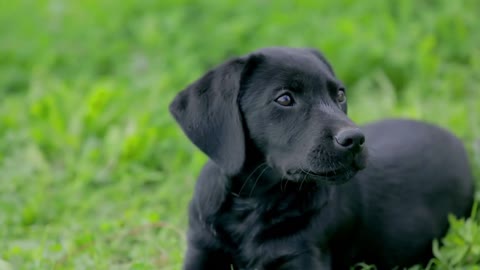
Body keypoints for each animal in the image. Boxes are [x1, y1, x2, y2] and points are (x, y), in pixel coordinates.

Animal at [169, 47, 472, 268]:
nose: (355, 140)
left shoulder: (304, 255)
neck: (252, 205)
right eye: (285, 99)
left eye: (340, 94)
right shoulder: (201, 248)